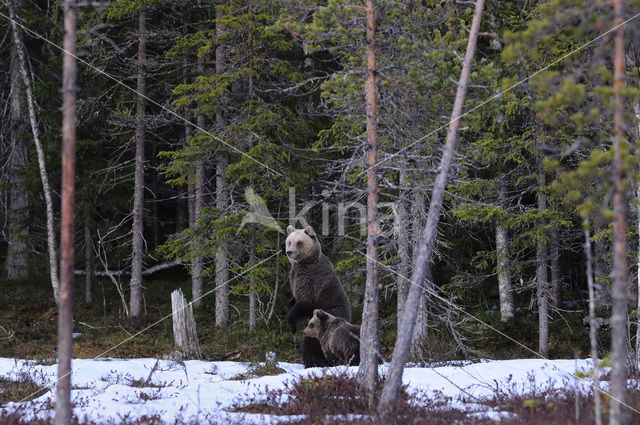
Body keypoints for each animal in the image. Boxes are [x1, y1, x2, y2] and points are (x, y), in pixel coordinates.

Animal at [284, 225, 352, 368]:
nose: (289, 252)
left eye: (299, 242)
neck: (303, 264)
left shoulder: (312, 283)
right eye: (289, 242)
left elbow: (304, 304)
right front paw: (287, 307)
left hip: (321, 325)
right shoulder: (294, 280)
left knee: (311, 344)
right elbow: (293, 299)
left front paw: (291, 323)